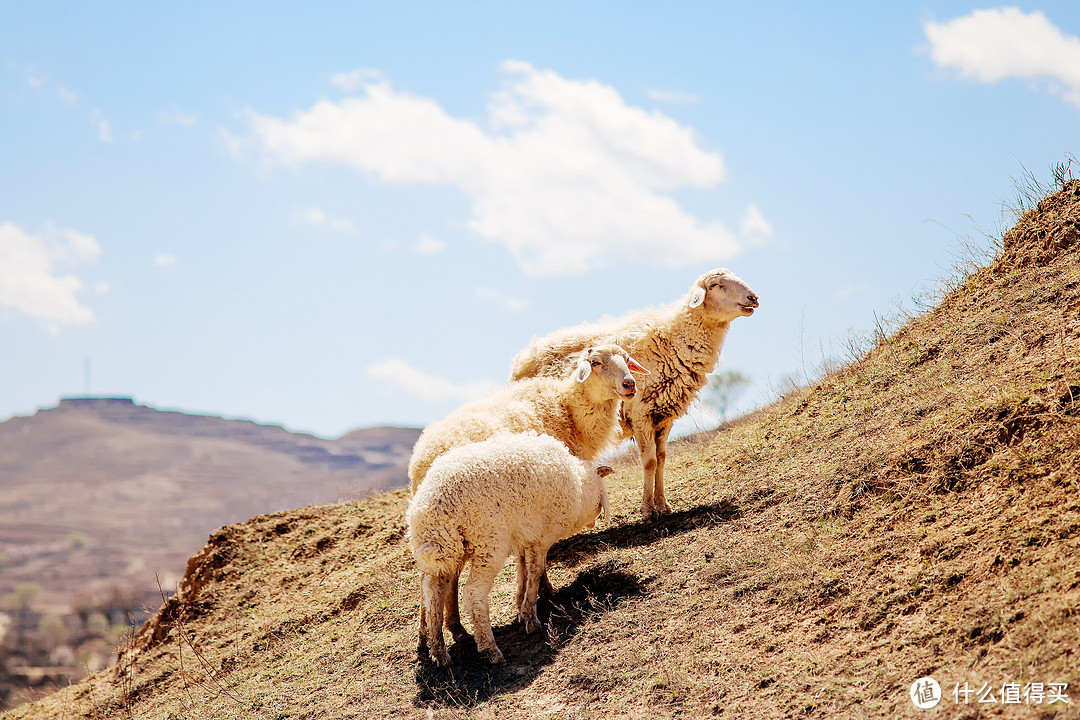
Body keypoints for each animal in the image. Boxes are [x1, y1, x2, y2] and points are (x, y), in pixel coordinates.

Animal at [406, 431, 613, 669]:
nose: (594, 522)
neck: (579, 487)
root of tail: (432, 505)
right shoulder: (541, 538)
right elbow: (535, 572)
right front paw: (531, 618)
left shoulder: (524, 536)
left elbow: (523, 570)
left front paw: (521, 607)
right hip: (488, 544)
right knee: (473, 593)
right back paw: (490, 649)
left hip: (445, 550)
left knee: (432, 595)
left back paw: (439, 652)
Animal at [511, 267, 760, 520]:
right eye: (715, 285)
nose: (753, 298)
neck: (672, 340)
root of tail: (524, 355)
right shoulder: (640, 412)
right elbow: (649, 461)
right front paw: (648, 509)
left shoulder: (664, 414)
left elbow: (661, 459)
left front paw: (663, 504)